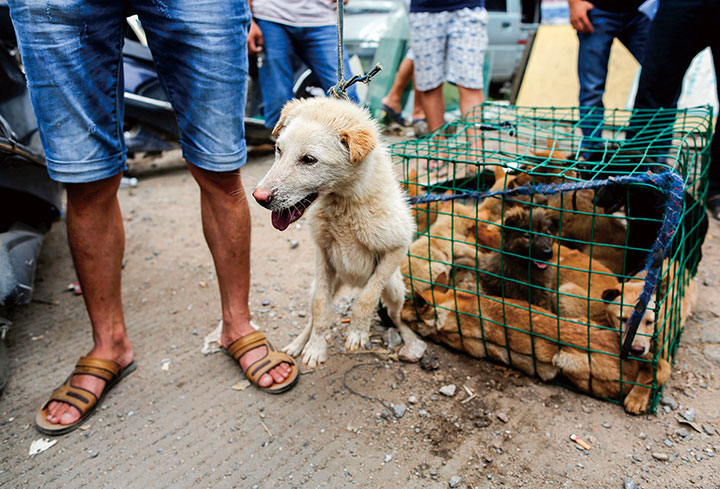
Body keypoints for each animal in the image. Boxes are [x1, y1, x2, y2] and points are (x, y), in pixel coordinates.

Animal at [252, 98, 424, 366]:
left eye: (309, 159)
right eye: (278, 150)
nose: (259, 198)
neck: (344, 202)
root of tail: (351, 281)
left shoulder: (397, 247)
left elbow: (366, 299)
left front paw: (357, 332)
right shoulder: (322, 254)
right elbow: (321, 308)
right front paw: (315, 347)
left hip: (396, 290)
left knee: (395, 315)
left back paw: (408, 337)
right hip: (319, 286)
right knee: (313, 314)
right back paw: (298, 343)